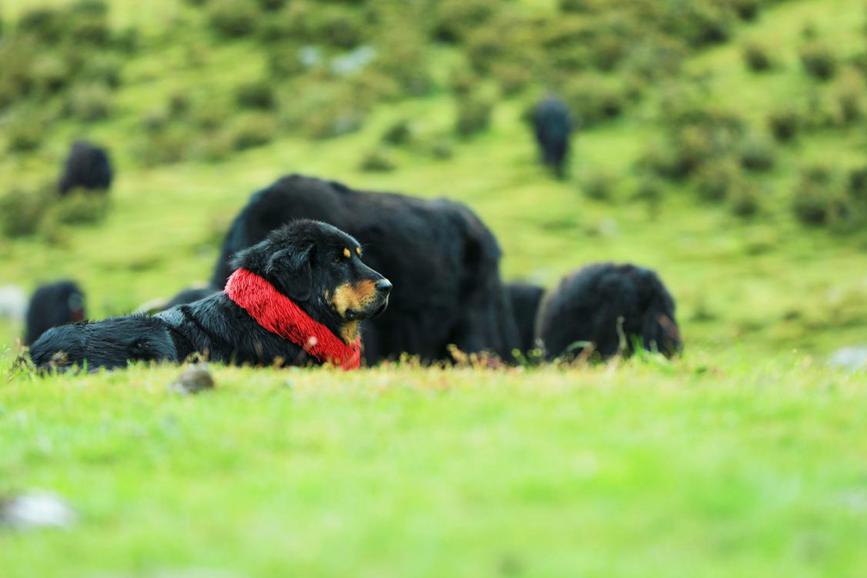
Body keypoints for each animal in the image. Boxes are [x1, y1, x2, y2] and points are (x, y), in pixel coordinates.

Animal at [29, 218, 390, 372]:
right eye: (339, 261)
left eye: (358, 255)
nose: (388, 286)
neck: (277, 315)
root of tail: (36, 355)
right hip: (154, 334)